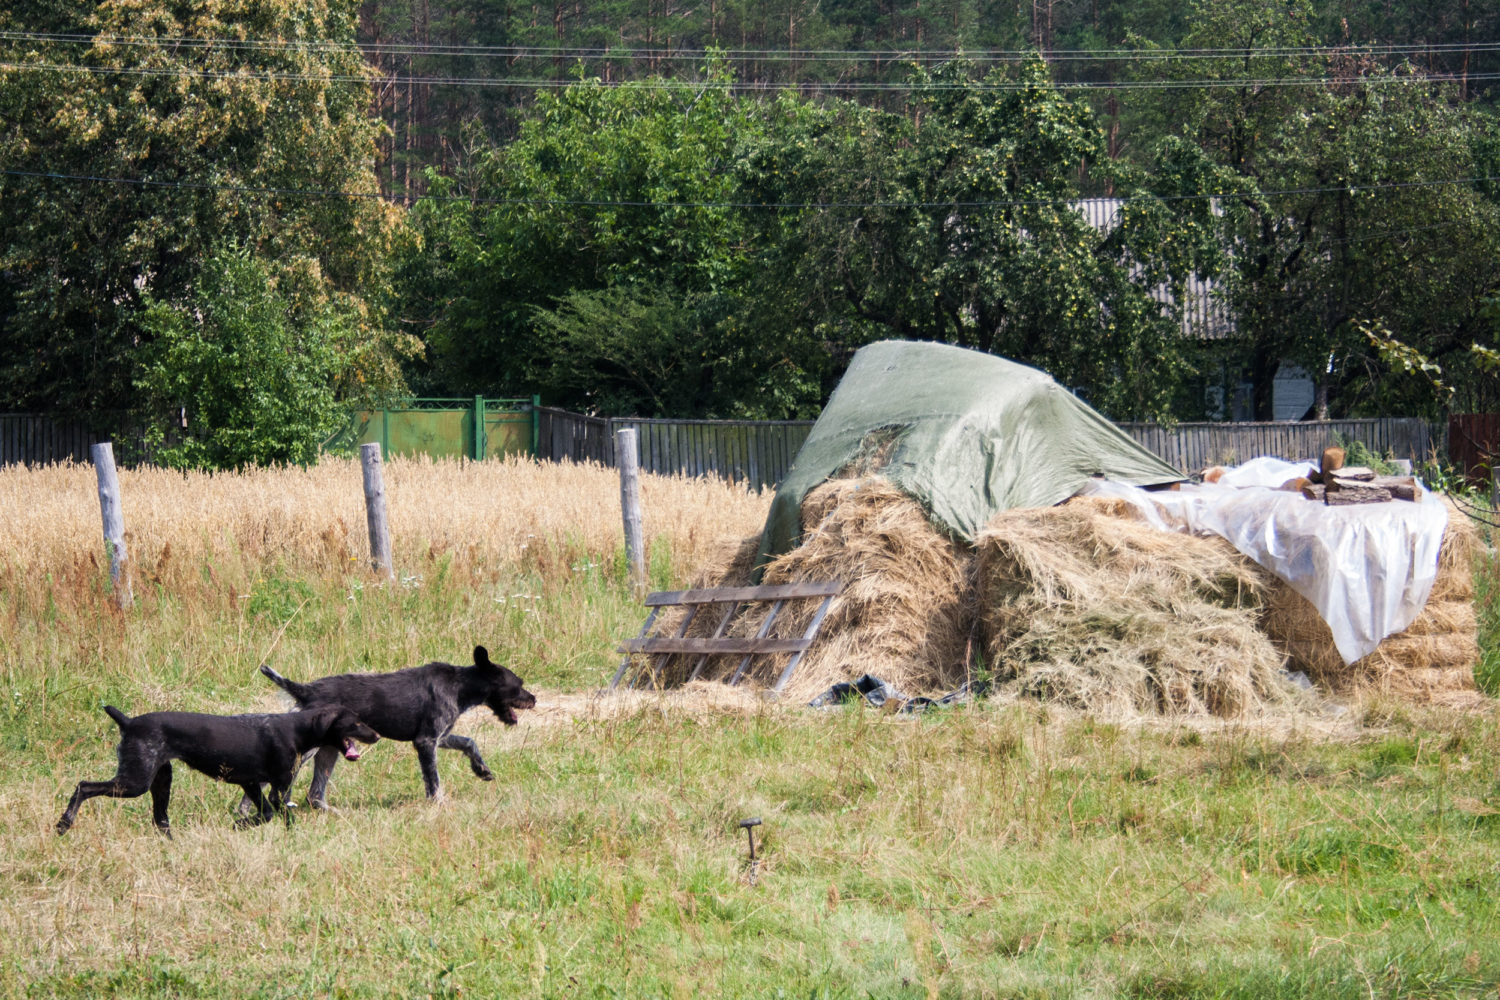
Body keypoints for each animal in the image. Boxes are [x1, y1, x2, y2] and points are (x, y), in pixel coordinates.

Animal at [56, 704, 378, 837]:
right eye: (355, 722)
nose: (376, 735)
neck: (298, 729)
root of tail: (129, 721)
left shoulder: (252, 784)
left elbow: (264, 815)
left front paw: (240, 825)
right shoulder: (279, 789)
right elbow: (282, 816)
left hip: (160, 781)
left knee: (160, 820)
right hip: (135, 782)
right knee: (83, 786)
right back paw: (64, 823)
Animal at [259, 645, 536, 806]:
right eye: (518, 684)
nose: (534, 699)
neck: (460, 685)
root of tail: (305, 690)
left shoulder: (440, 737)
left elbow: (469, 742)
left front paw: (481, 769)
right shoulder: (426, 742)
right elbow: (433, 780)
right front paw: (438, 804)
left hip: (329, 750)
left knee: (315, 794)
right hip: (308, 749)